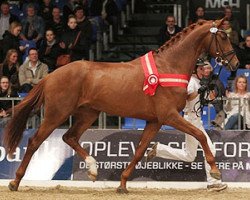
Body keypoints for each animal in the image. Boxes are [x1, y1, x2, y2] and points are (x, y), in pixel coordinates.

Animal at [3, 19, 238, 193]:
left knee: (69, 137)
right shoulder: (169, 116)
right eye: (223, 36)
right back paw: (15, 182)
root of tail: (51, 75)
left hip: (88, 114)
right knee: (35, 141)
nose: (235, 64)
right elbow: (199, 136)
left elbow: (140, 150)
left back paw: (93, 169)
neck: (168, 67)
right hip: (57, 113)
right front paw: (215, 171)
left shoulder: (155, 121)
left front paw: (123, 184)